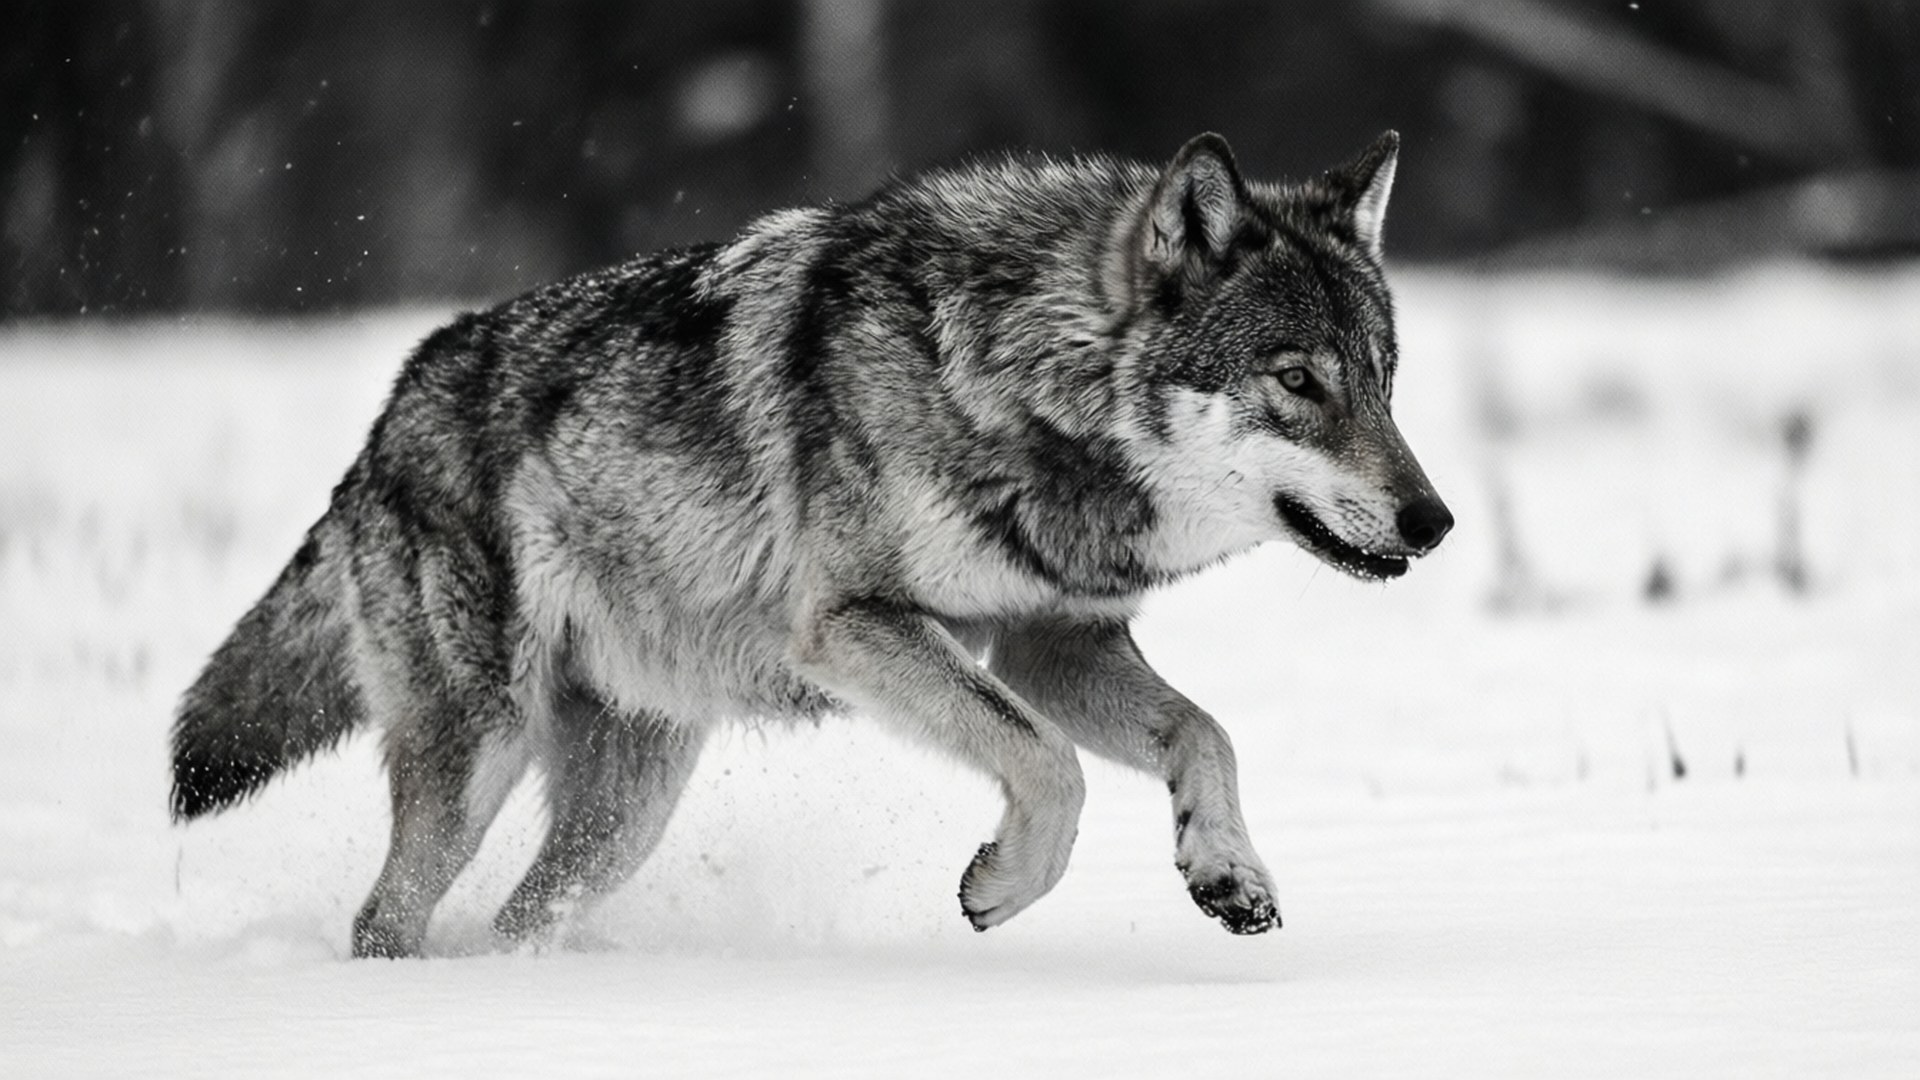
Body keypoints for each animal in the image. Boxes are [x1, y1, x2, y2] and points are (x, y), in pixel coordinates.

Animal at [171, 130, 1452, 958]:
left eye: (1385, 383)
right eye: (1297, 381)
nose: (1434, 523)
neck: (1017, 386)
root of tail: (388, 412)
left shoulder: (1053, 645)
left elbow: (1207, 735)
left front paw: (1228, 873)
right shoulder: (857, 628)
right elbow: (1050, 763)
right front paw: (1004, 885)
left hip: (628, 807)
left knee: (519, 916)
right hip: (482, 752)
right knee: (384, 919)